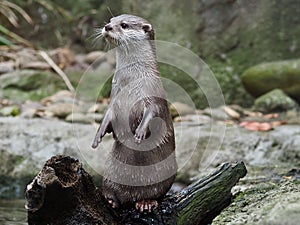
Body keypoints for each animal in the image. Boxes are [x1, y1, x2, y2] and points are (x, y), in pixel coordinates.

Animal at [91, 14, 176, 213]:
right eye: (110, 20)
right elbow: (108, 115)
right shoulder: (113, 100)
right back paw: (111, 200)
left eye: (124, 25)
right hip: (109, 171)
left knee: (155, 193)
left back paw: (145, 202)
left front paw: (139, 132)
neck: (131, 81)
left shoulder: (153, 94)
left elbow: (153, 112)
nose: (107, 27)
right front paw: (98, 136)